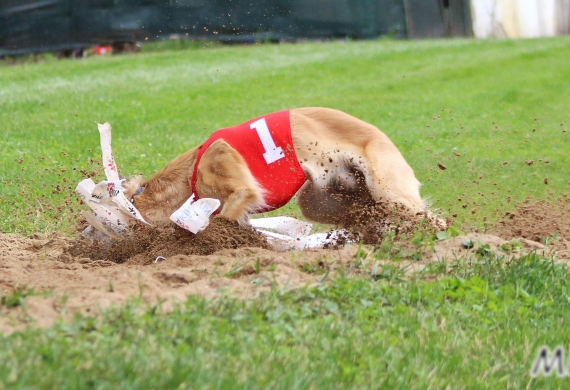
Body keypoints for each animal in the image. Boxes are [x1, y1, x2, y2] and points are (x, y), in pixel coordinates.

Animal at [124, 106, 434, 232]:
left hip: (388, 192)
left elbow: (225, 216)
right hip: (320, 199)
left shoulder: (235, 181)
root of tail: (380, 134)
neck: (189, 176)